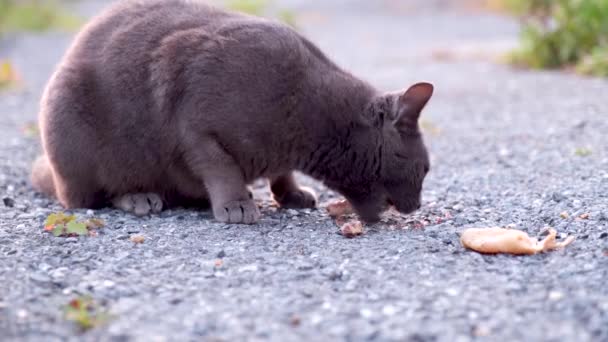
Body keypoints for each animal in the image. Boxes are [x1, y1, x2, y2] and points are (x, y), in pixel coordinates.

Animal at [32, 0, 432, 224]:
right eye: (425, 169)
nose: (417, 206)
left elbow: (282, 173)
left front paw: (291, 194)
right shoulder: (195, 126)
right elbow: (221, 167)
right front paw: (237, 204)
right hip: (70, 122)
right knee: (85, 196)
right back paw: (139, 197)